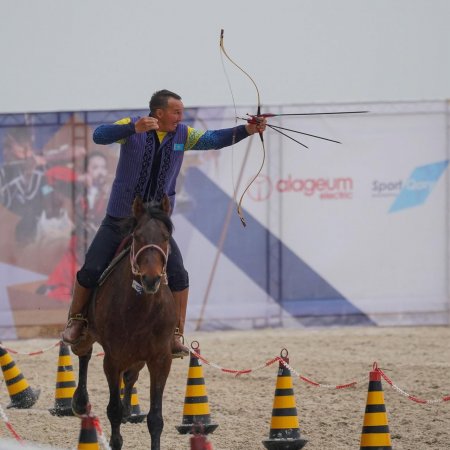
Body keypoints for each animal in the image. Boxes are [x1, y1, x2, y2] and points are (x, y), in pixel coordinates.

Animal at [71, 194, 178, 450]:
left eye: (166, 237)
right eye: (137, 236)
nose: (151, 279)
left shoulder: (161, 359)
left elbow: (155, 418)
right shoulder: (113, 359)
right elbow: (113, 410)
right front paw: (116, 439)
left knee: (131, 376)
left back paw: (130, 407)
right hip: (89, 335)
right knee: (84, 354)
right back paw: (81, 401)